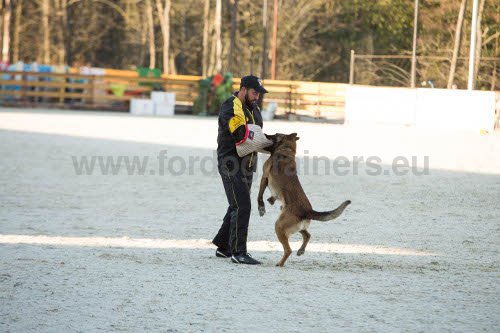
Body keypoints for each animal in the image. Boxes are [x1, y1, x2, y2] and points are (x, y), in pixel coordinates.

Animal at [258, 132, 352, 264]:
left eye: (275, 134)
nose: (265, 134)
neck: (286, 149)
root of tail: (308, 211)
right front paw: (271, 200)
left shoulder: (264, 177)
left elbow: (260, 194)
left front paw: (261, 207)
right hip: (295, 226)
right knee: (307, 235)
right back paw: (301, 250)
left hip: (279, 226)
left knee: (288, 250)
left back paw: (280, 263)